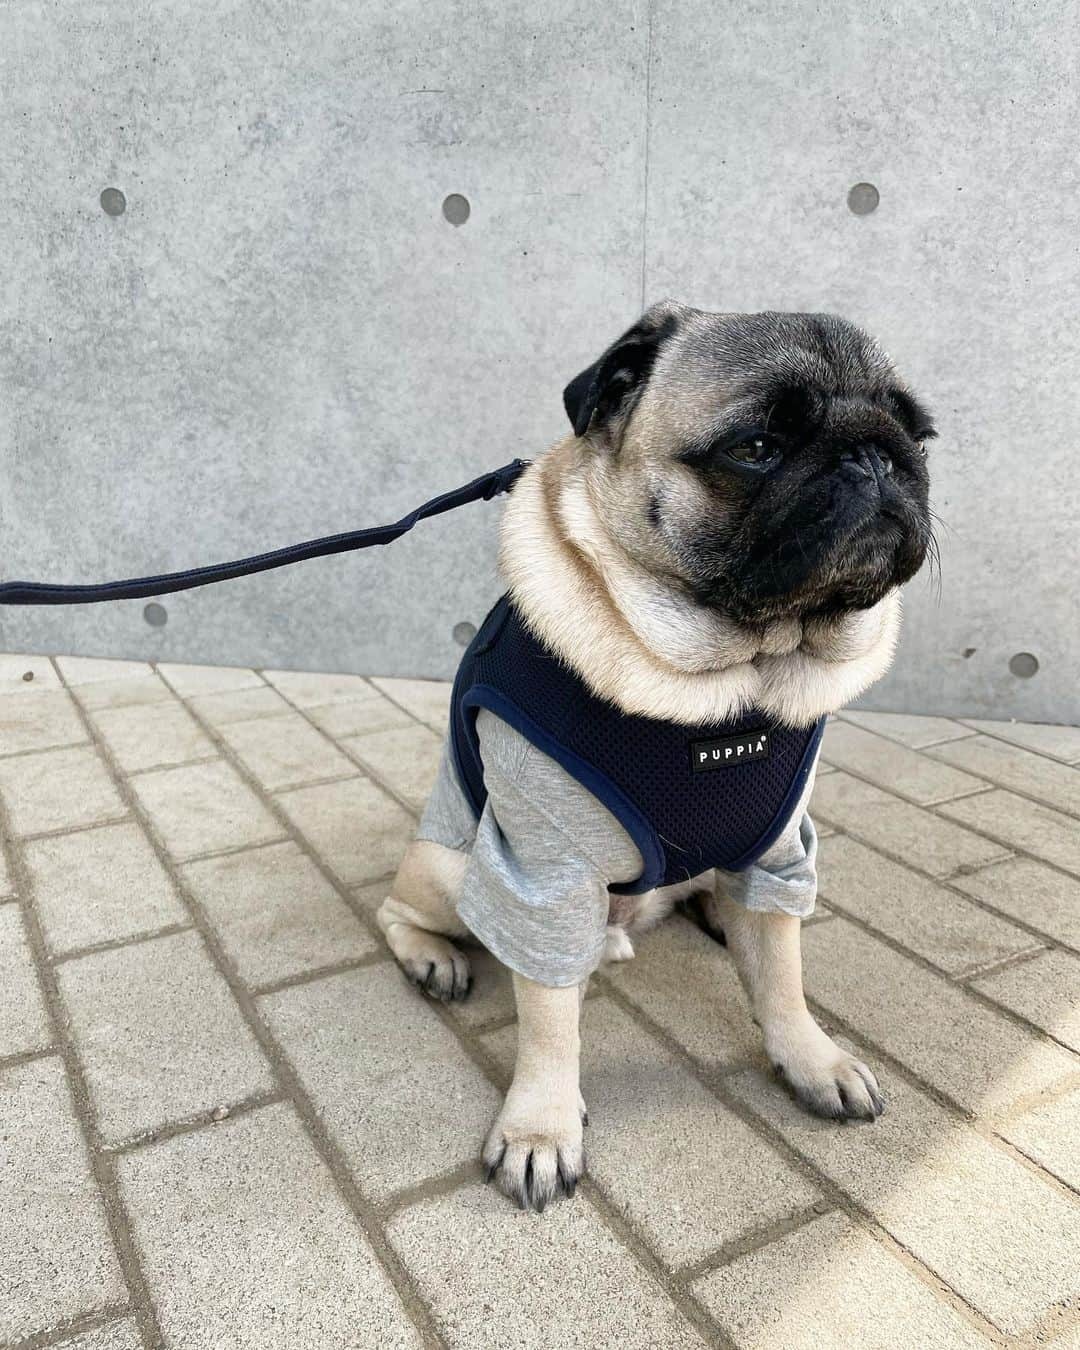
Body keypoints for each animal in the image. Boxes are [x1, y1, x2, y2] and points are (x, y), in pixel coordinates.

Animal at [375, 303, 934, 1215]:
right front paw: (541, 1128)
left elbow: (783, 975)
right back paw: (434, 958)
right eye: (756, 446)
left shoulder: (781, 850)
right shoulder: (546, 873)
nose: (876, 454)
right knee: (404, 911)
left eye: (919, 436)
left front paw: (811, 1060)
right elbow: (549, 1024)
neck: (730, 687)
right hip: (450, 866)